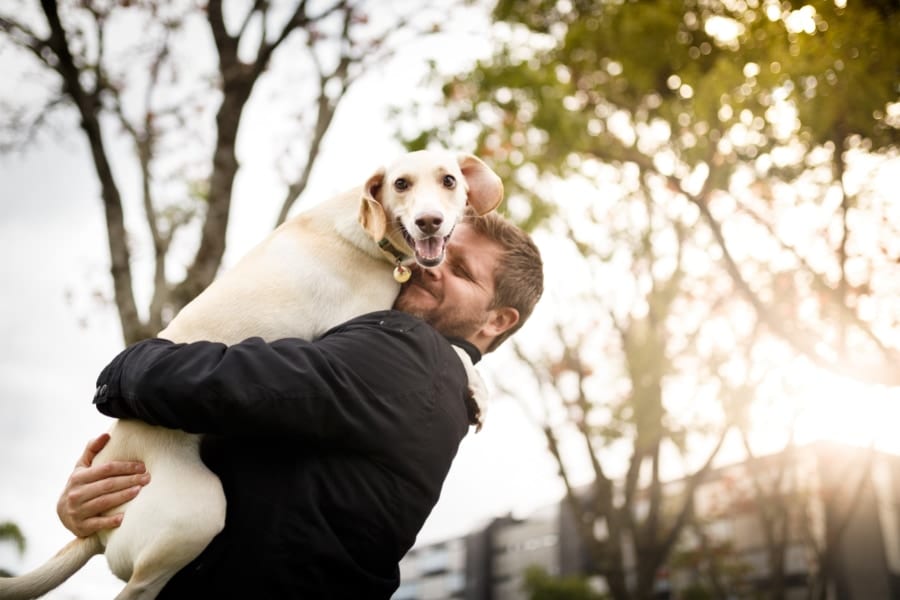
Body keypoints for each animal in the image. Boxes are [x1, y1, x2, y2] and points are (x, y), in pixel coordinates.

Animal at [3, 149, 502, 596]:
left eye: (449, 181)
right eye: (401, 184)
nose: (429, 222)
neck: (363, 233)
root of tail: (92, 533)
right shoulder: (350, 328)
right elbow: (452, 350)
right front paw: (478, 390)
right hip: (198, 512)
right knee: (137, 588)